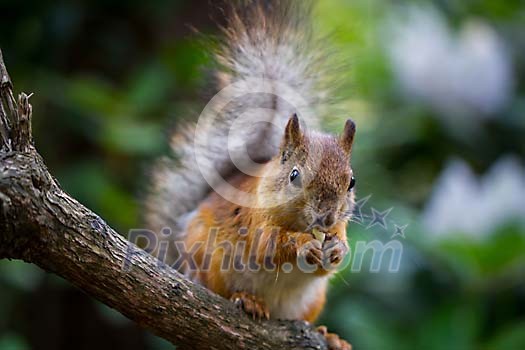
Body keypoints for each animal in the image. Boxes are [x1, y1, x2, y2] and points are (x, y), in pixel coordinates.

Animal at [145, 1, 354, 348]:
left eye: (351, 181)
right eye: (294, 175)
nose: (325, 218)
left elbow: (329, 261)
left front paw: (337, 248)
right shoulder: (255, 217)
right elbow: (267, 245)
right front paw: (303, 245)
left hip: (311, 300)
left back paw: (329, 334)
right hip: (209, 260)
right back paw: (248, 299)